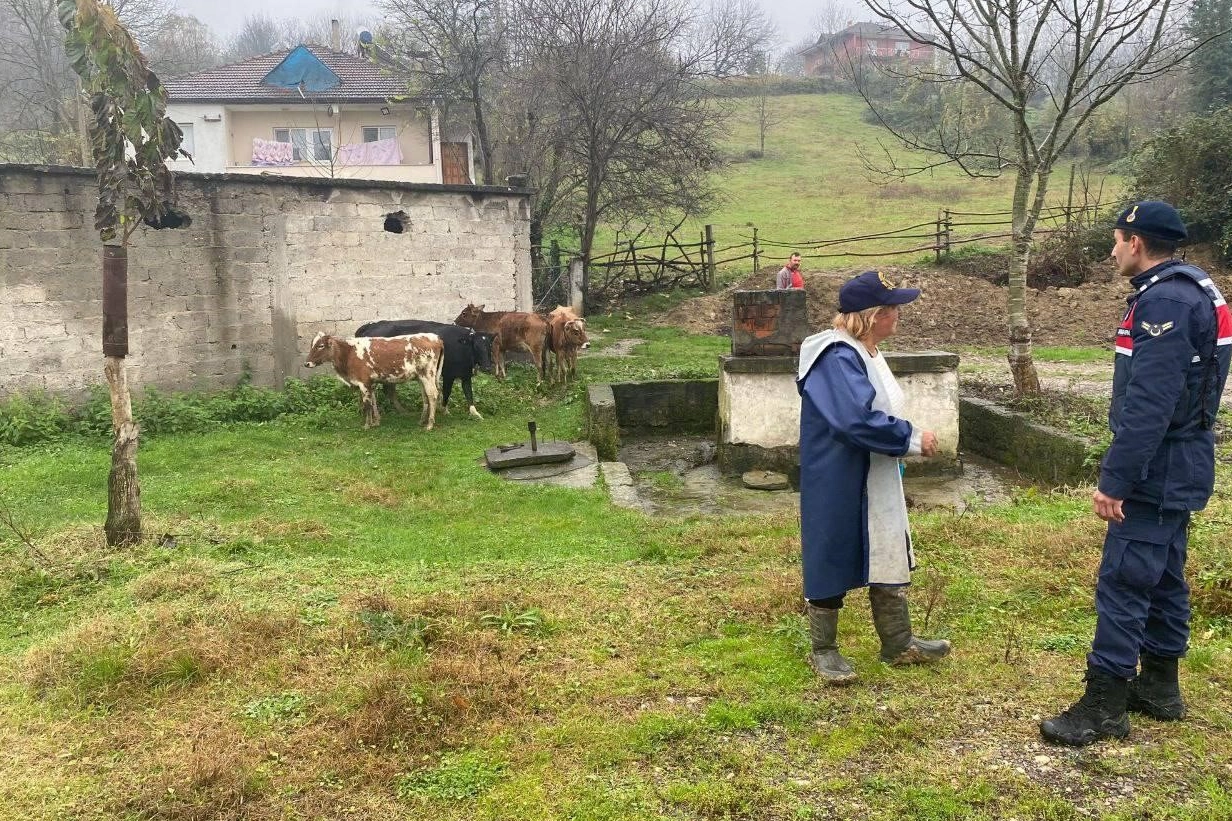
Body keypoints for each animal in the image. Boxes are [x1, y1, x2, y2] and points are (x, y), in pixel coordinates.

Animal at [305, 330, 445, 428]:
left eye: (320, 346)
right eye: (311, 344)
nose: (307, 363)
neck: (349, 353)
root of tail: (436, 337)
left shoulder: (363, 382)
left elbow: (366, 403)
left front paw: (367, 425)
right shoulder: (370, 383)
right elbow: (373, 401)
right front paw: (376, 421)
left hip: (428, 374)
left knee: (432, 395)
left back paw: (430, 424)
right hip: (421, 377)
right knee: (426, 396)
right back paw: (422, 421)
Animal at [354, 318, 487, 419]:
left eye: (489, 346)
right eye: (475, 346)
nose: (487, 366)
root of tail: (369, 325)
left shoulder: (466, 375)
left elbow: (469, 393)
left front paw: (476, 414)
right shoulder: (449, 375)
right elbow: (447, 392)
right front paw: (445, 411)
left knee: (386, 390)